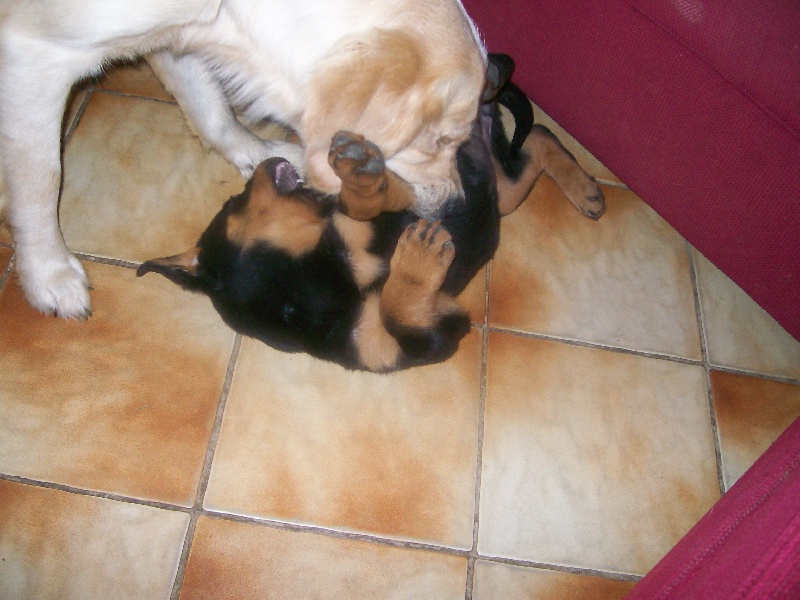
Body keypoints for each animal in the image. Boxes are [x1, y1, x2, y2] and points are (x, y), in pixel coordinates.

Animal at [0, 0, 488, 320]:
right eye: (443, 139)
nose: (458, 207)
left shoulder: (177, 37)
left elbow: (212, 110)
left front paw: (259, 153)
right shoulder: (31, 53)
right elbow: (43, 177)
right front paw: (47, 273)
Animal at [137, 56, 605, 372]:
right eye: (232, 204)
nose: (265, 161)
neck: (313, 270)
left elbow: (363, 203)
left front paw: (363, 178)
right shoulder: (409, 341)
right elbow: (397, 311)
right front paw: (420, 259)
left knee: (529, 132)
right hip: (499, 193)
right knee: (535, 141)